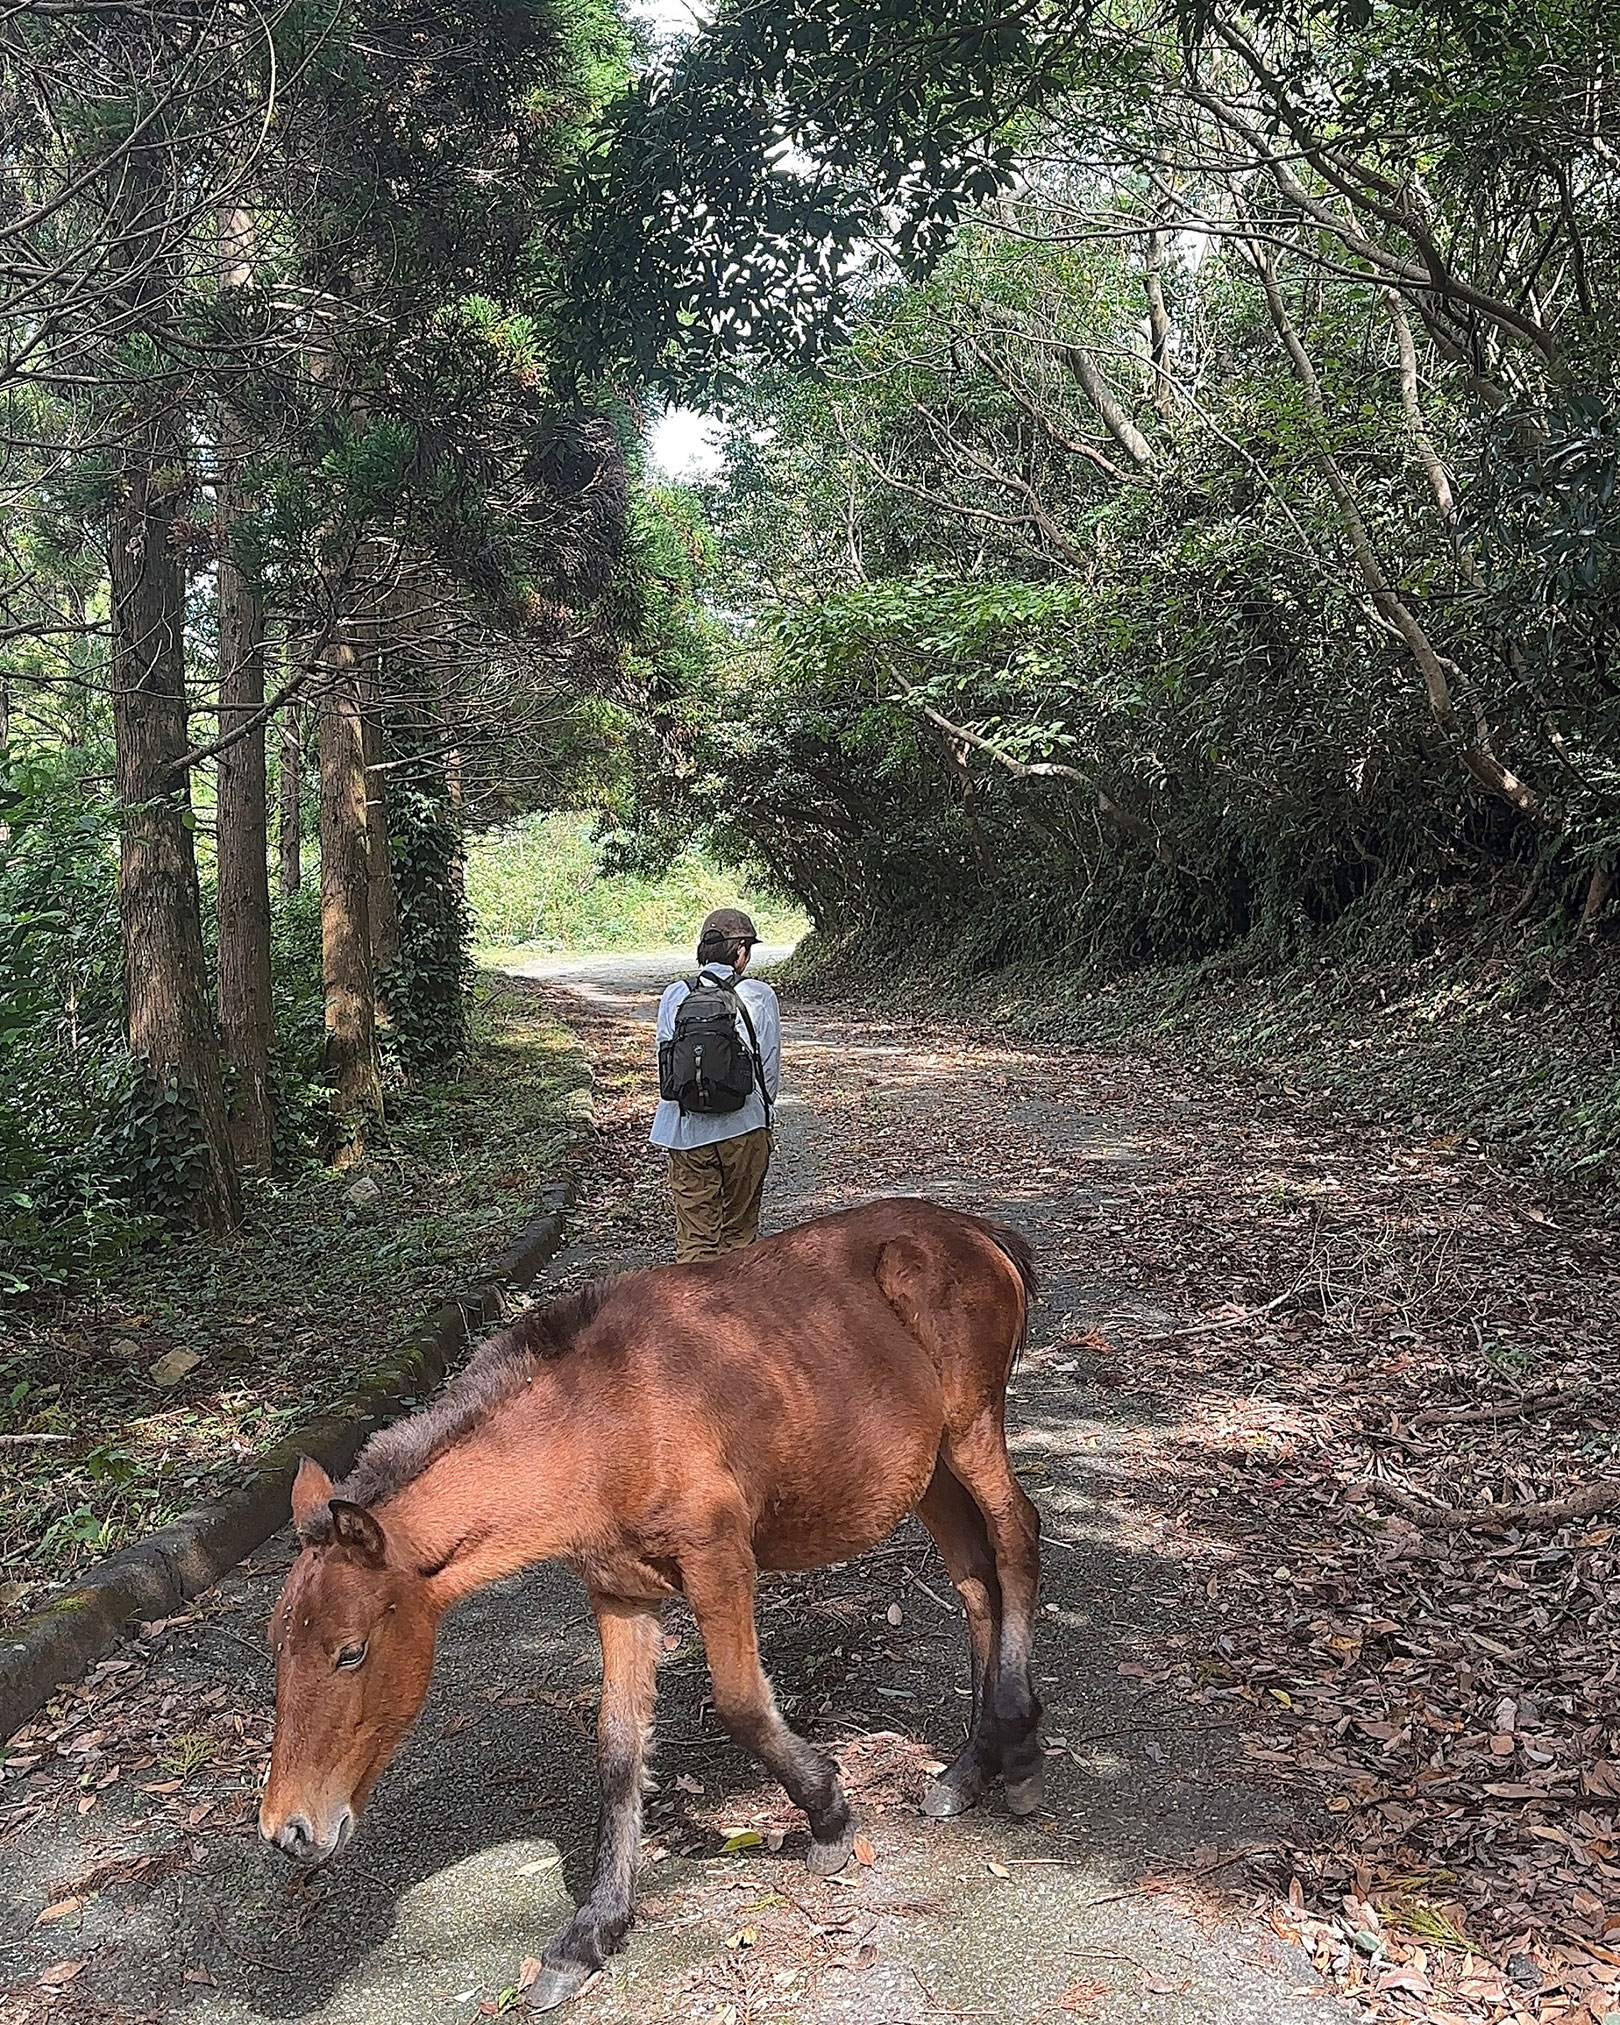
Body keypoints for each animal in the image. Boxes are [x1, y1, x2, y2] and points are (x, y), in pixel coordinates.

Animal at [253, 1190, 1036, 2000]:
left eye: (350, 1652)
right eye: (278, 1645)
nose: (289, 1831)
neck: (603, 1421)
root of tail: (977, 1231)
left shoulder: (719, 1558)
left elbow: (742, 1704)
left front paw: (829, 1817)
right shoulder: (620, 1595)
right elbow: (619, 1748)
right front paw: (593, 1929)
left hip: (971, 1432)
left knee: (1016, 1542)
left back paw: (1016, 1746)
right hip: (931, 1472)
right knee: (975, 1580)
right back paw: (972, 1764)